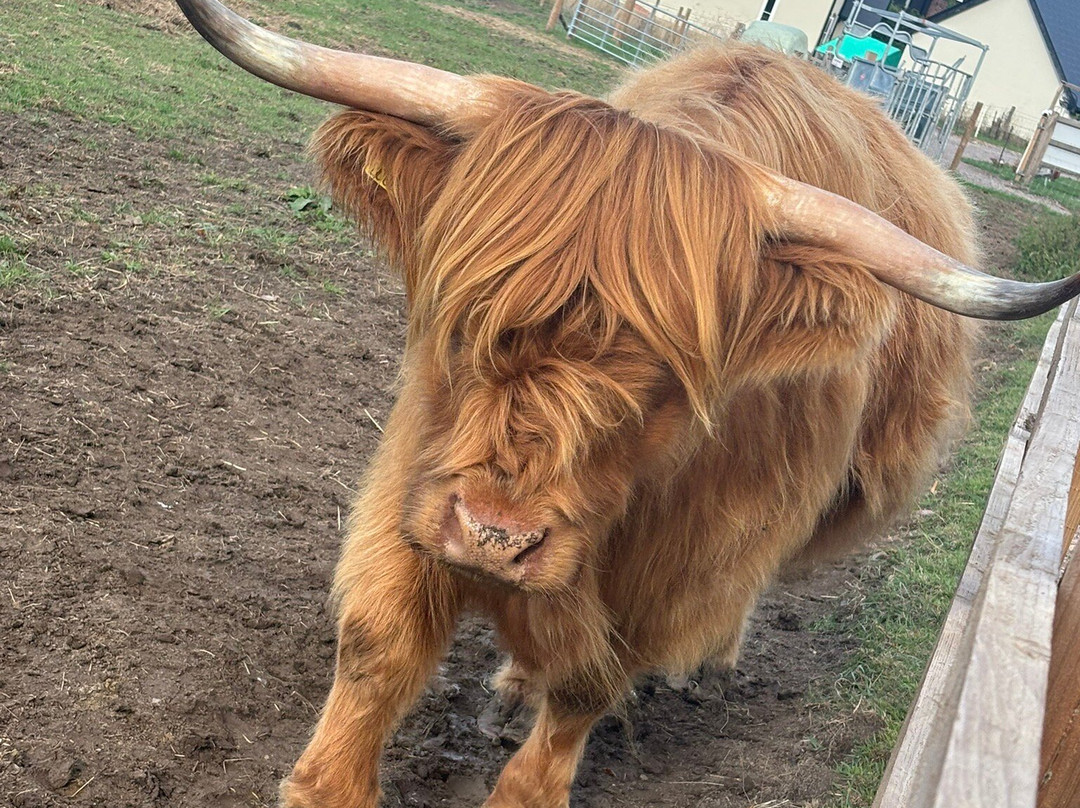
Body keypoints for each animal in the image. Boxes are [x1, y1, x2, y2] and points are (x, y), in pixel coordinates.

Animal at [174, 2, 1080, 806]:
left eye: (663, 386)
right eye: (465, 321)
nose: (497, 540)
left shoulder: (679, 563)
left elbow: (587, 687)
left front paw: (533, 784)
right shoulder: (420, 481)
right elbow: (379, 645)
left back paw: (708, 665)